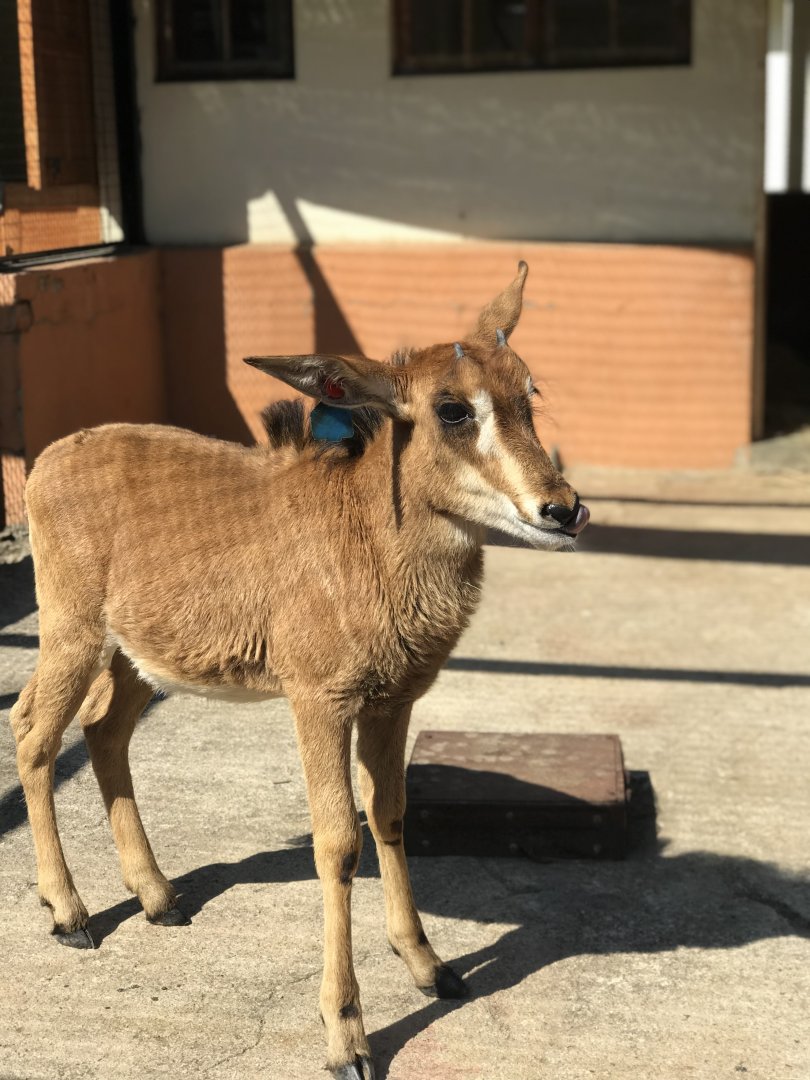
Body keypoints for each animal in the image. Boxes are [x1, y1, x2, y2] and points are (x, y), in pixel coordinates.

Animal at [11, 262, 588, 1080]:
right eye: (451, 409)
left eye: (527, 393)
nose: (563, 510)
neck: (372, 536)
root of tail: (48, 461)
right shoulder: (319, 699)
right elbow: (338, 842)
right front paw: (347, 1034)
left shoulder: (392, 701)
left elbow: (391, 815)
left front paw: (429, 965)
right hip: (72, 630)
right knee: (33, 731)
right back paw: (69, 913)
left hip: (135, 654)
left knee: (104, 732)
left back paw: (159, 897)